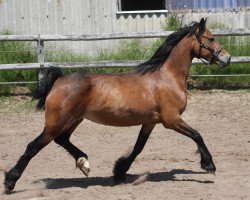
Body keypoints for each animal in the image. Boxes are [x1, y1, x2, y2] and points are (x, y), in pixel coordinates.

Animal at [3, 18, 230, 193]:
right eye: (211, 38)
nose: (227, 58)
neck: (167, 78)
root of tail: (59, 80)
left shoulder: (151, 121)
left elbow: (138, 147)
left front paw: (119, 172)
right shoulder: (171, 119)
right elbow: (197, 135)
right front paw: (209, 165)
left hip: (73, 120)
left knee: (62, 140)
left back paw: (84, 163)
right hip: (57, 122)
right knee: (33, 146)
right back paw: (10, 182)